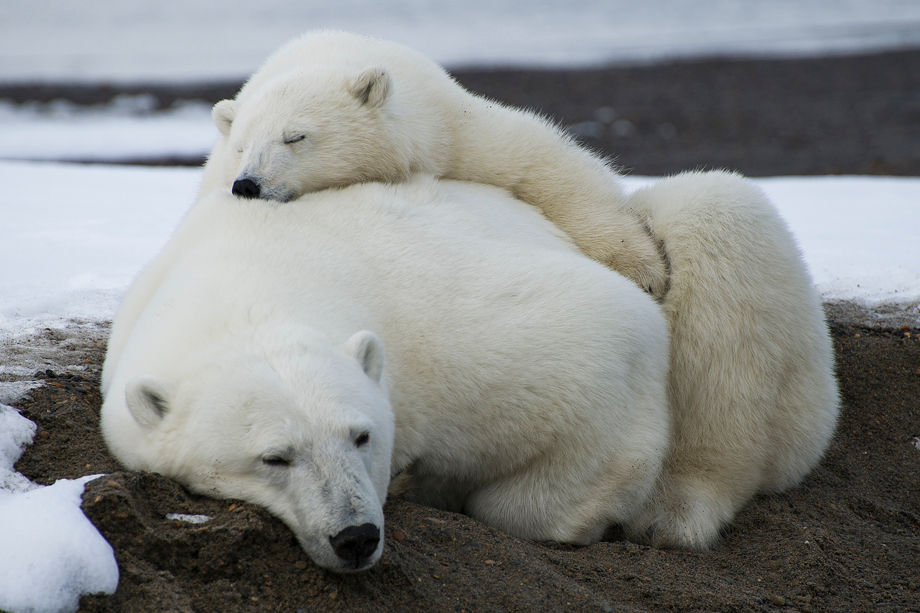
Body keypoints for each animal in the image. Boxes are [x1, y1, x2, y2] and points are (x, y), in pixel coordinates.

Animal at [101, 176, 671, 572]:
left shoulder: (448, 338)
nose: (355, 537)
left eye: (361, 436)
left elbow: (613, 324)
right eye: (275, 457)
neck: (249, 282)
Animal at [197, 30, 669, 298]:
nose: (247, 184)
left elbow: (544, 162)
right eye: (241, 147)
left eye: (294, 136)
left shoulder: (449, 132)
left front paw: (643, 272)